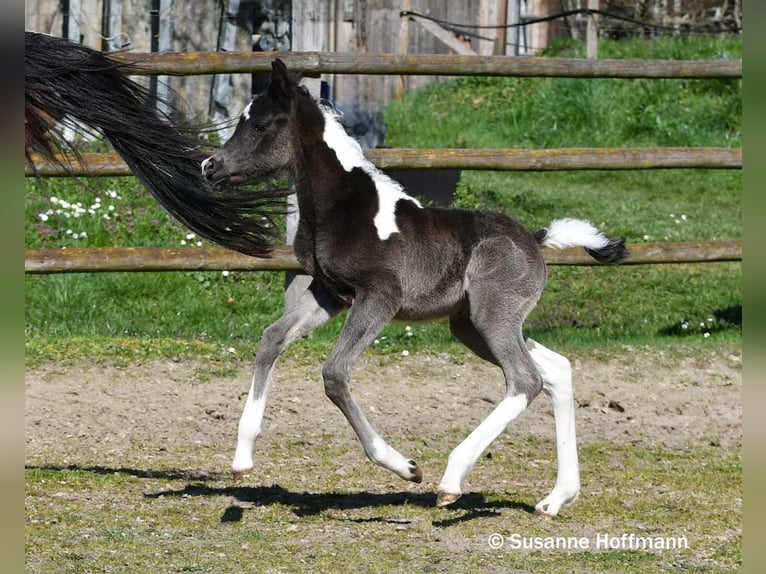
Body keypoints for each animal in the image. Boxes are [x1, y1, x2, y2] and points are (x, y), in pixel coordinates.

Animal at [202, 59, 628, 514]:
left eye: (261, 125)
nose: (210, 166)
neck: (344, 208)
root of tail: (535, 238)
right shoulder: (329, 293)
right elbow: (272, 339)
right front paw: (242, 460)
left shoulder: (379, 297)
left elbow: (335, 373)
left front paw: (405, 466)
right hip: (471, 325)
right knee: (555, 370)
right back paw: (556, 498)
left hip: (492, 318)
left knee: (525, 380)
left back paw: (452, 480)